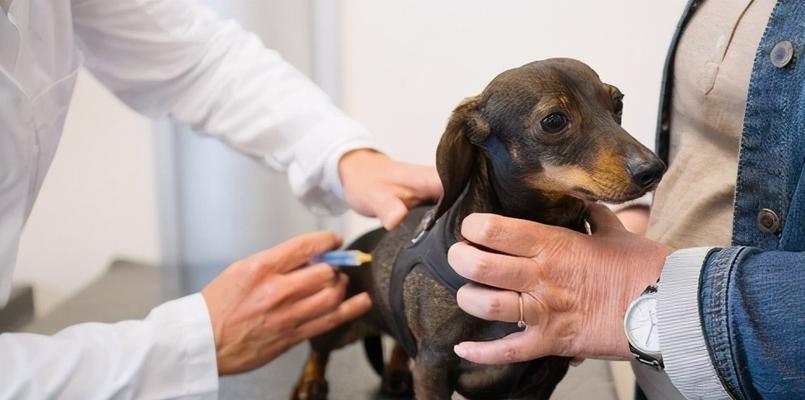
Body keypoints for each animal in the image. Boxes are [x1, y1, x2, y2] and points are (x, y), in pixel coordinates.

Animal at [292, 57, 664, 400]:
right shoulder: (433, 363)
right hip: (339, 322)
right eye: (554, 120)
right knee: (318, 349)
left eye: (617, 103)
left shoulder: (545, 372)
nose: (653, 169)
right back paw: (309, 382)